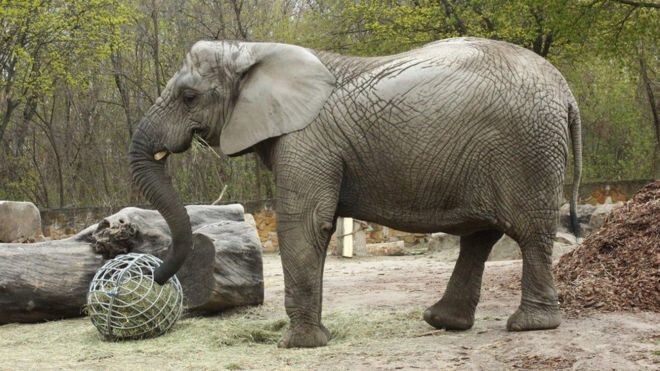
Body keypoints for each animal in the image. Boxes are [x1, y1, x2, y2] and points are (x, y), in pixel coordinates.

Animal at [129, 37, 584, 348]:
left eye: (189, 97)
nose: (154, 277)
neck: (254, 51)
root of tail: (567, 93)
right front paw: (314, 339)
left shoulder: (307, 139)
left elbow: (305, 224)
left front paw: (297, 345)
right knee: (481, 236)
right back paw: (442, 321)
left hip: (526, 149)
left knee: (528, 232)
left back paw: (528, 325)